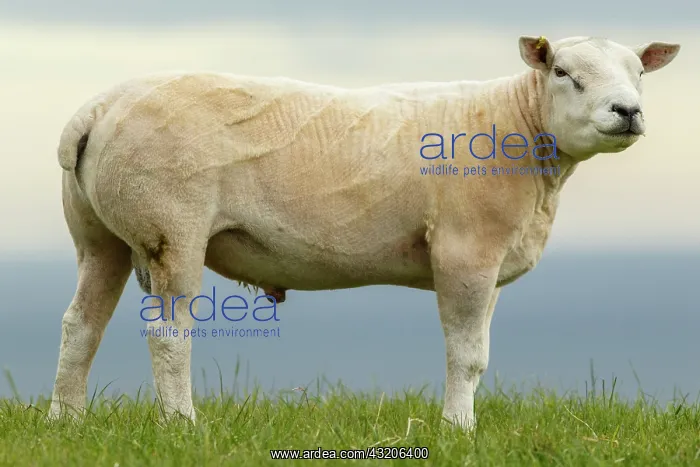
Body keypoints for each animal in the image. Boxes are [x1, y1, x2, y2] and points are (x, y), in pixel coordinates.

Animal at [49, 35, 680, 429]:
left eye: (640, 74)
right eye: (563, 73)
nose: (627, 111)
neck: (518, 125)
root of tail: (98, 107)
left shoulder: (493, 260)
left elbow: (479, 354)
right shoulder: (466, 251)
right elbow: (467, 355)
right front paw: (458, 429)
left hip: (99, 235)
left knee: (81, 326)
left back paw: (66, 420)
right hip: (171, 226)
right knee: (168, 333)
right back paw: (181, 422)